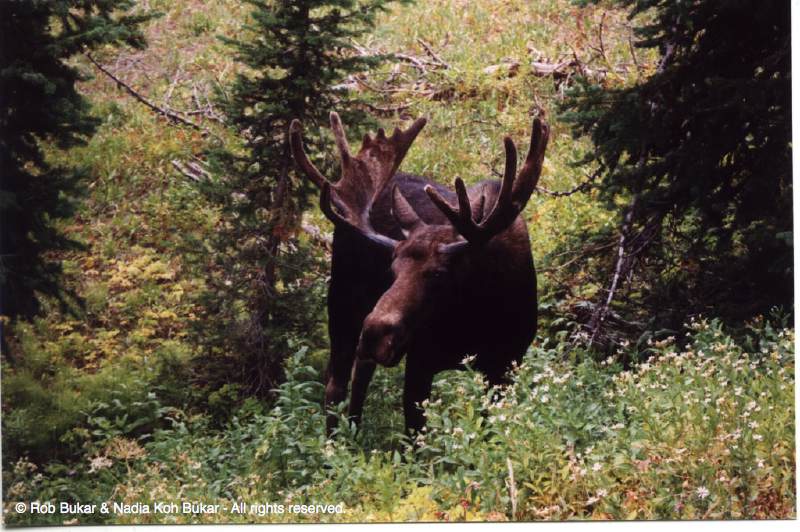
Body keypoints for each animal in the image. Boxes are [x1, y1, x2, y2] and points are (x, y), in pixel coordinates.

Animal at [289, 112, 549, 434]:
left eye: (438, 273)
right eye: (393, 269)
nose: (374, 331)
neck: (477, 315)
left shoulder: (506, 364)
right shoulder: (419, 361)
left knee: (360, 373)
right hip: (342, 307)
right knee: (335, 384)